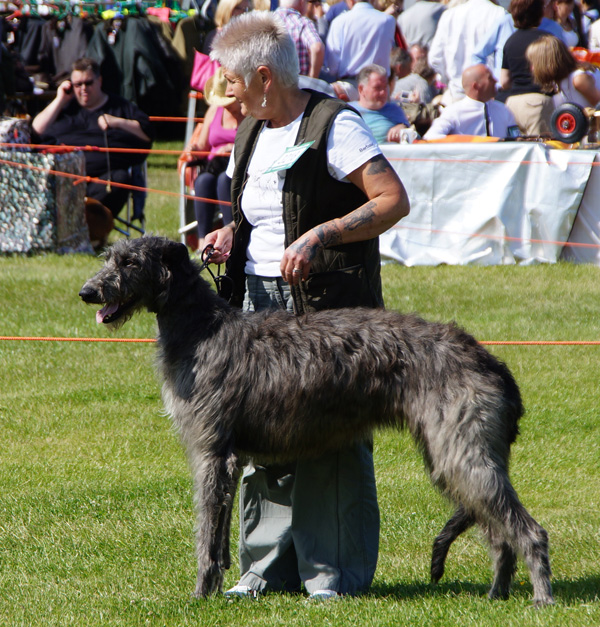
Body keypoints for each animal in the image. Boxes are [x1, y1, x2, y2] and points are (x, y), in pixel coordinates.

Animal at [78, 237, 552, 608]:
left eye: (130, 262)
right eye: (109, 257)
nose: (87, 292)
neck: (201, 329)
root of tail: (491, 362)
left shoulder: (212, 453)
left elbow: (206, 532)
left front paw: (200, 592)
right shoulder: (226, 457)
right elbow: (218, 529)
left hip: (461, 453)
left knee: (528, 531)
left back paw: (541, 597)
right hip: (452, 456)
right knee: (499, 536)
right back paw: (496, 595)